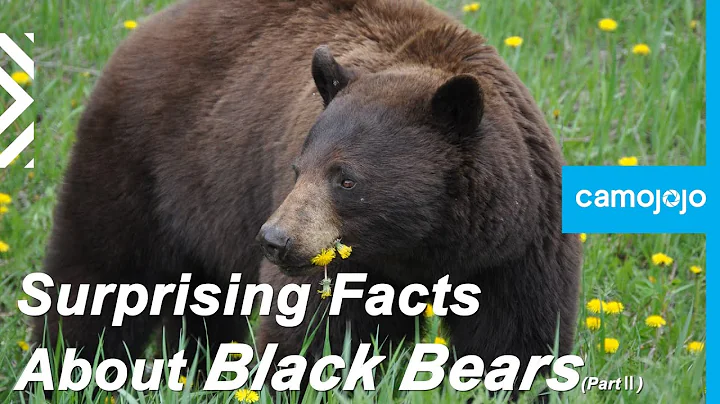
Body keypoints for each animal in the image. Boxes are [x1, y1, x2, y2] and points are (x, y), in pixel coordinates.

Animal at [35, 0, 581, 394]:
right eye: (298, 170)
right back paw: (64, 373)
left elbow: (515, 338)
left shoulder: (516, 247)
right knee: (98, 272)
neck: (422, 246)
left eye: (347, 179)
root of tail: (147, 26)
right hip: (144, 162)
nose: (275, 240)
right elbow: (313, 337)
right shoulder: (338, 263)